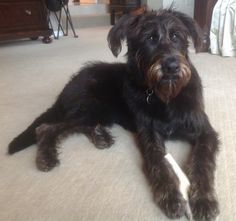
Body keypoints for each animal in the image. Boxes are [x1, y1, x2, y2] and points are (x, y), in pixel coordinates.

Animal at [8, 9, 220, 221]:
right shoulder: (149, 134)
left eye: (176, 36)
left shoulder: (205, 131)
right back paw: (47, 156)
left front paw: (203, 200)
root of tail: (69, 84)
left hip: (99, 113)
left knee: (76, 126)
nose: (171, 66)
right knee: (47, 127)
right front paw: (170, 196)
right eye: (149, 38)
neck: (165, 96)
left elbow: (201, 161)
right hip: (93, 107)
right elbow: (158, 162)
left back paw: (100, 137)